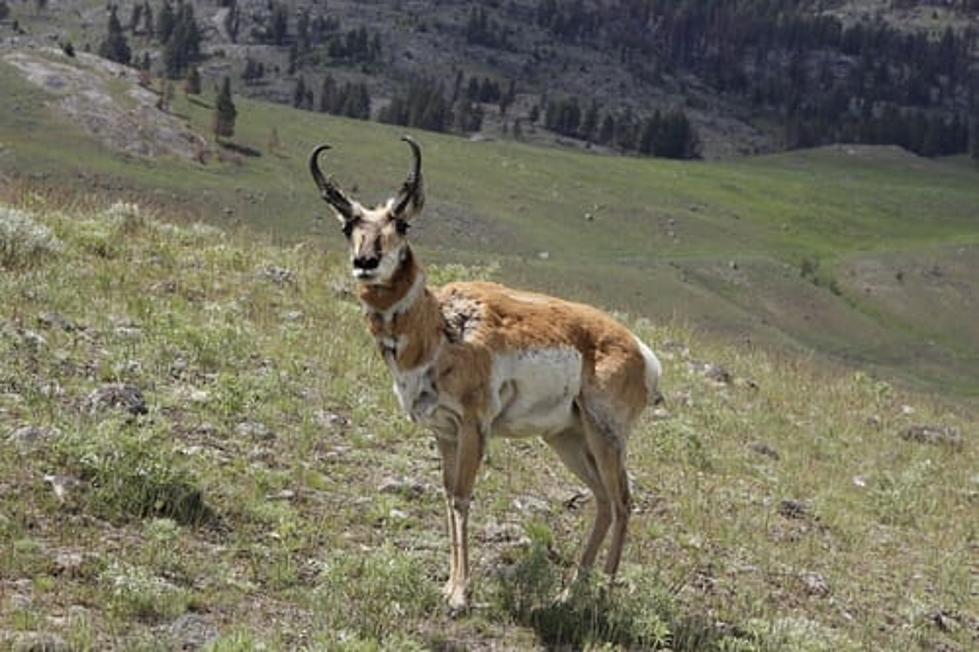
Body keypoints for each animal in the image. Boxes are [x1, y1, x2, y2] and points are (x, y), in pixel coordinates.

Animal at [312, 136, 668, 612]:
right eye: (348, 226)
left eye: (401, 224)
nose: (366, 261)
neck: (441, 327)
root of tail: (639, 349)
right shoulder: (443, 430)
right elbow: (448, 496)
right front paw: (448, 585)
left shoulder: (473, 426)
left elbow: (463, 497)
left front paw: (461, 593)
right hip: (567, 438)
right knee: (605, 501)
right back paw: (569, 592)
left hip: (604, 434)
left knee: (625, 501)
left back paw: (603, 594)